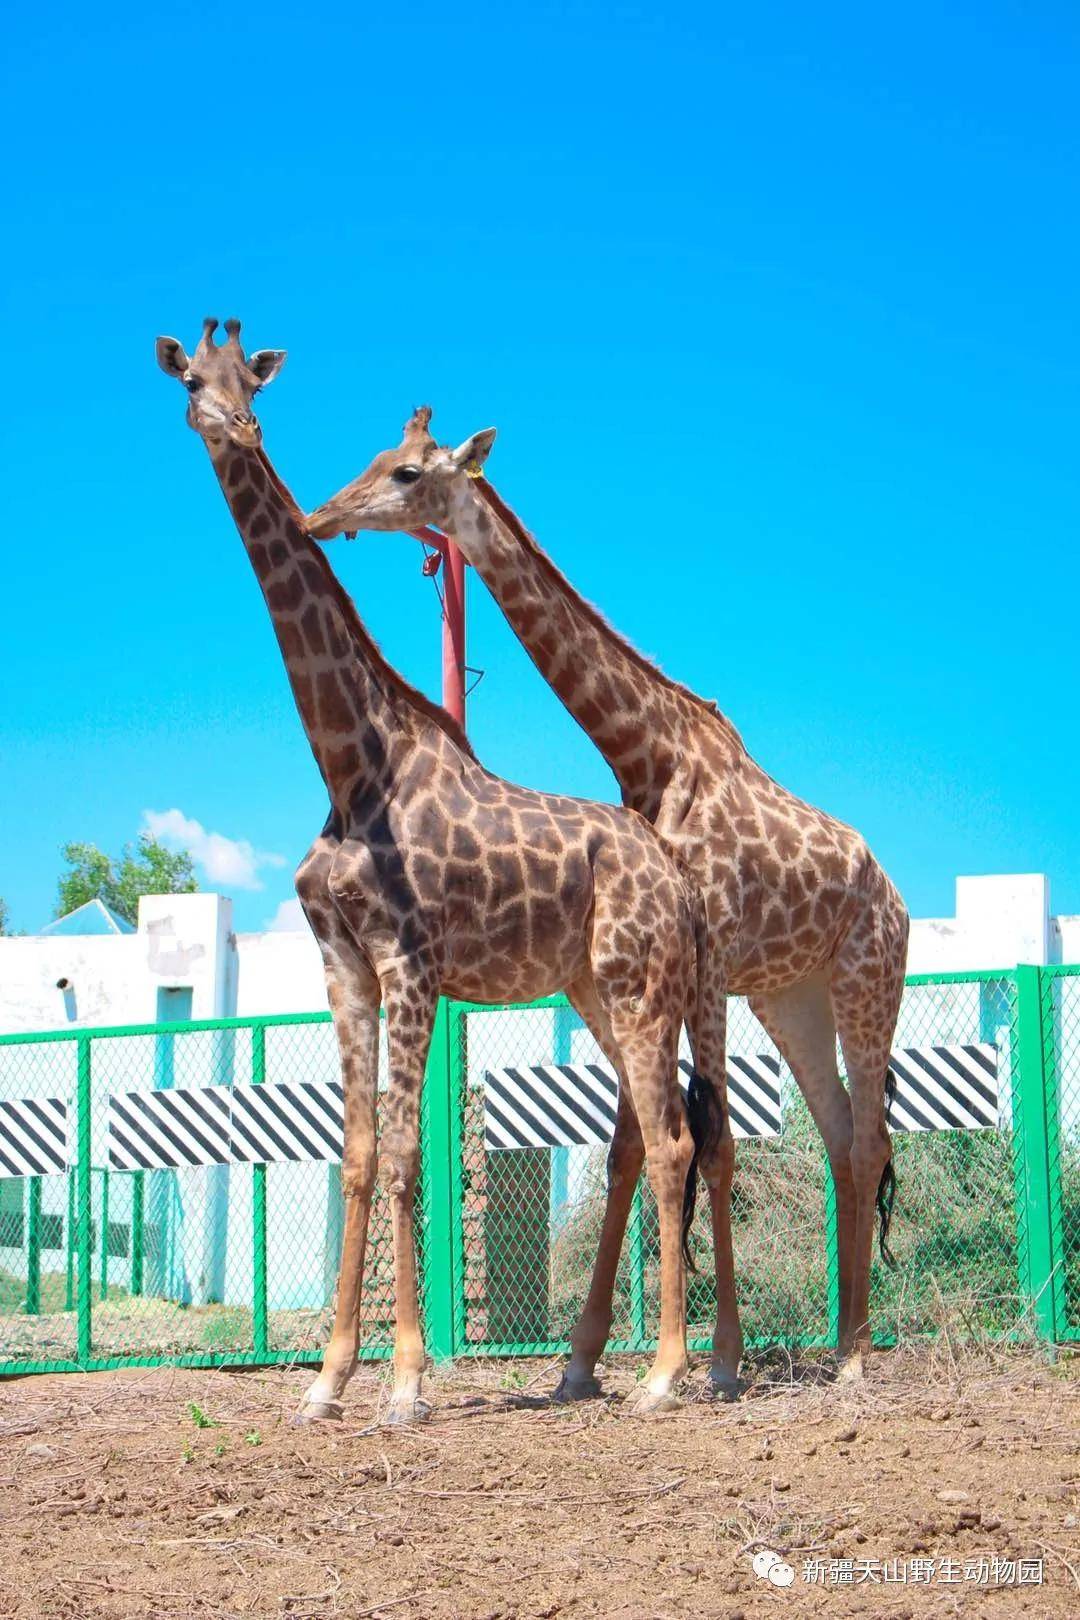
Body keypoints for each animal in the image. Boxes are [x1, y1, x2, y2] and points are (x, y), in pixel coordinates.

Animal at [153, 319, 725, 1419]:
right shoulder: (342, 963)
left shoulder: (410, 960)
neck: (349, 759)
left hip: (642, 987)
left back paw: (669, 1373)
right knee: (656, 1136)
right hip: (600, 988)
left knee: (676, 1140)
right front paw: (328, 1379)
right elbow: (358, 1157)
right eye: (190, 381)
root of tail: (674, 876)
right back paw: (618, 1366)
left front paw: (409, 1381)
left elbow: (411, 1156)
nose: (236, 428)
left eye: (255, 384)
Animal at [310, 411, 913, 1386]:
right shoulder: (654, 966)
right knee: (841, 1138)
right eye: (372, 459)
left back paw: (858, 1356)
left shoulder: (703, 955)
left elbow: (711, 1140)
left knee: (866, 1139)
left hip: (869, 982)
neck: (647, 752)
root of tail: (893, 893)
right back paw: (845, 1341)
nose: (325, 517)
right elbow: (636, 1141)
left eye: (404, 473)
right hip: (793, 998)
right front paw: (588, 1360)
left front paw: (714, 1362)